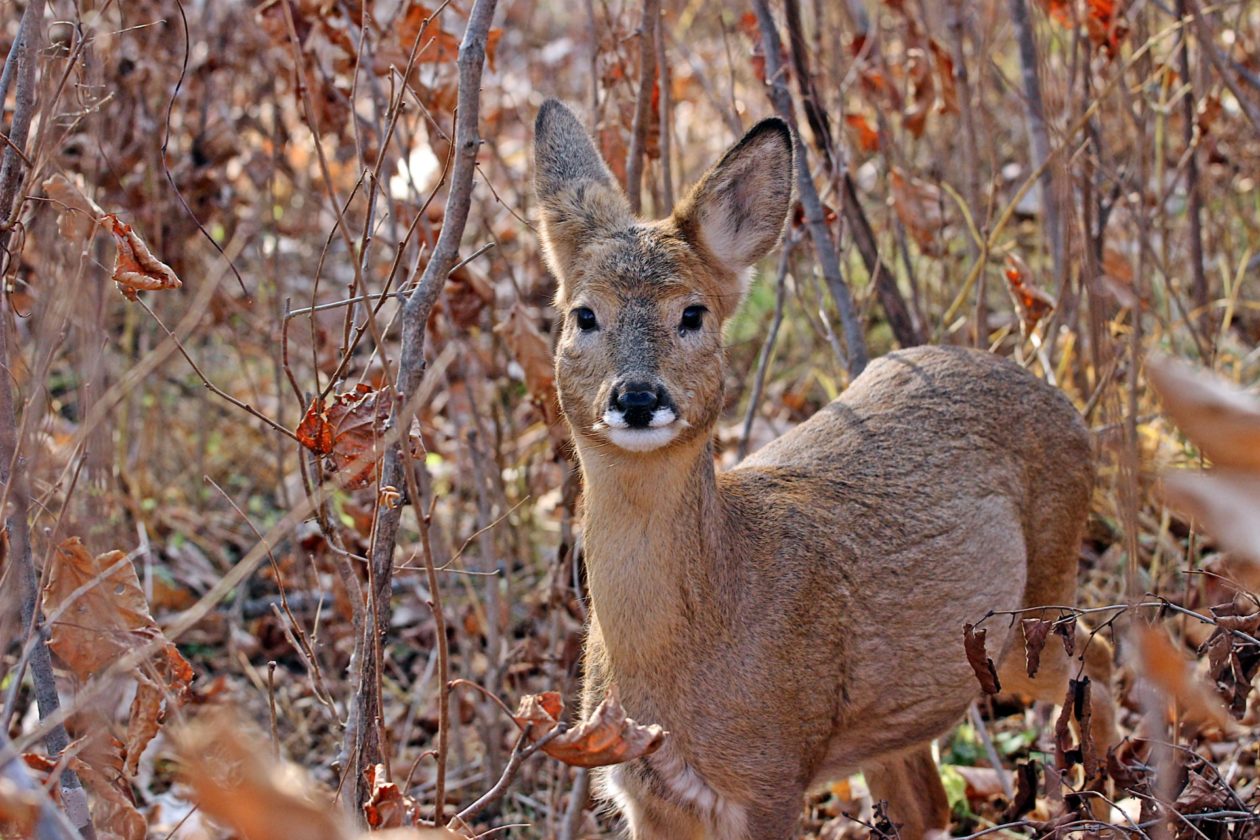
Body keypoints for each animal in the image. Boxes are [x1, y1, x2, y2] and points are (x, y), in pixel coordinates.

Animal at [531, 100, 1113, 840]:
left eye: (692, 313)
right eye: (584, 314)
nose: (636, 396)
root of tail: (1066, 405)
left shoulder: (774, 773)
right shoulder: (646, 793)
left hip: (1032, 608)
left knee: (1100, 658)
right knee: (929, 802)